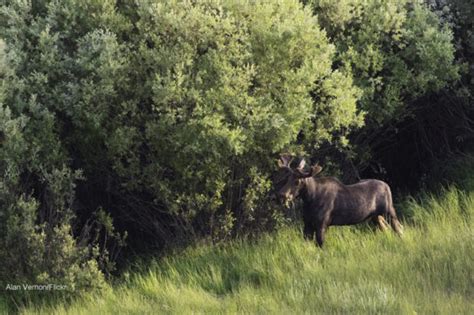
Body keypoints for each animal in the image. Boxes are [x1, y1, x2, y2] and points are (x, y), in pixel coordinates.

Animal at [274, 155, 404, 247]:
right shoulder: (307, 224)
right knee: (386, 229)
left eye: (297, 182)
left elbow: (321, 246)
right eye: (286, 179)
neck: (309, 199)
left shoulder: (322, 224)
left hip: (389, 212)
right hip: (375, 217)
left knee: (399, 229)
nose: (282, 195)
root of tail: (387, 186)